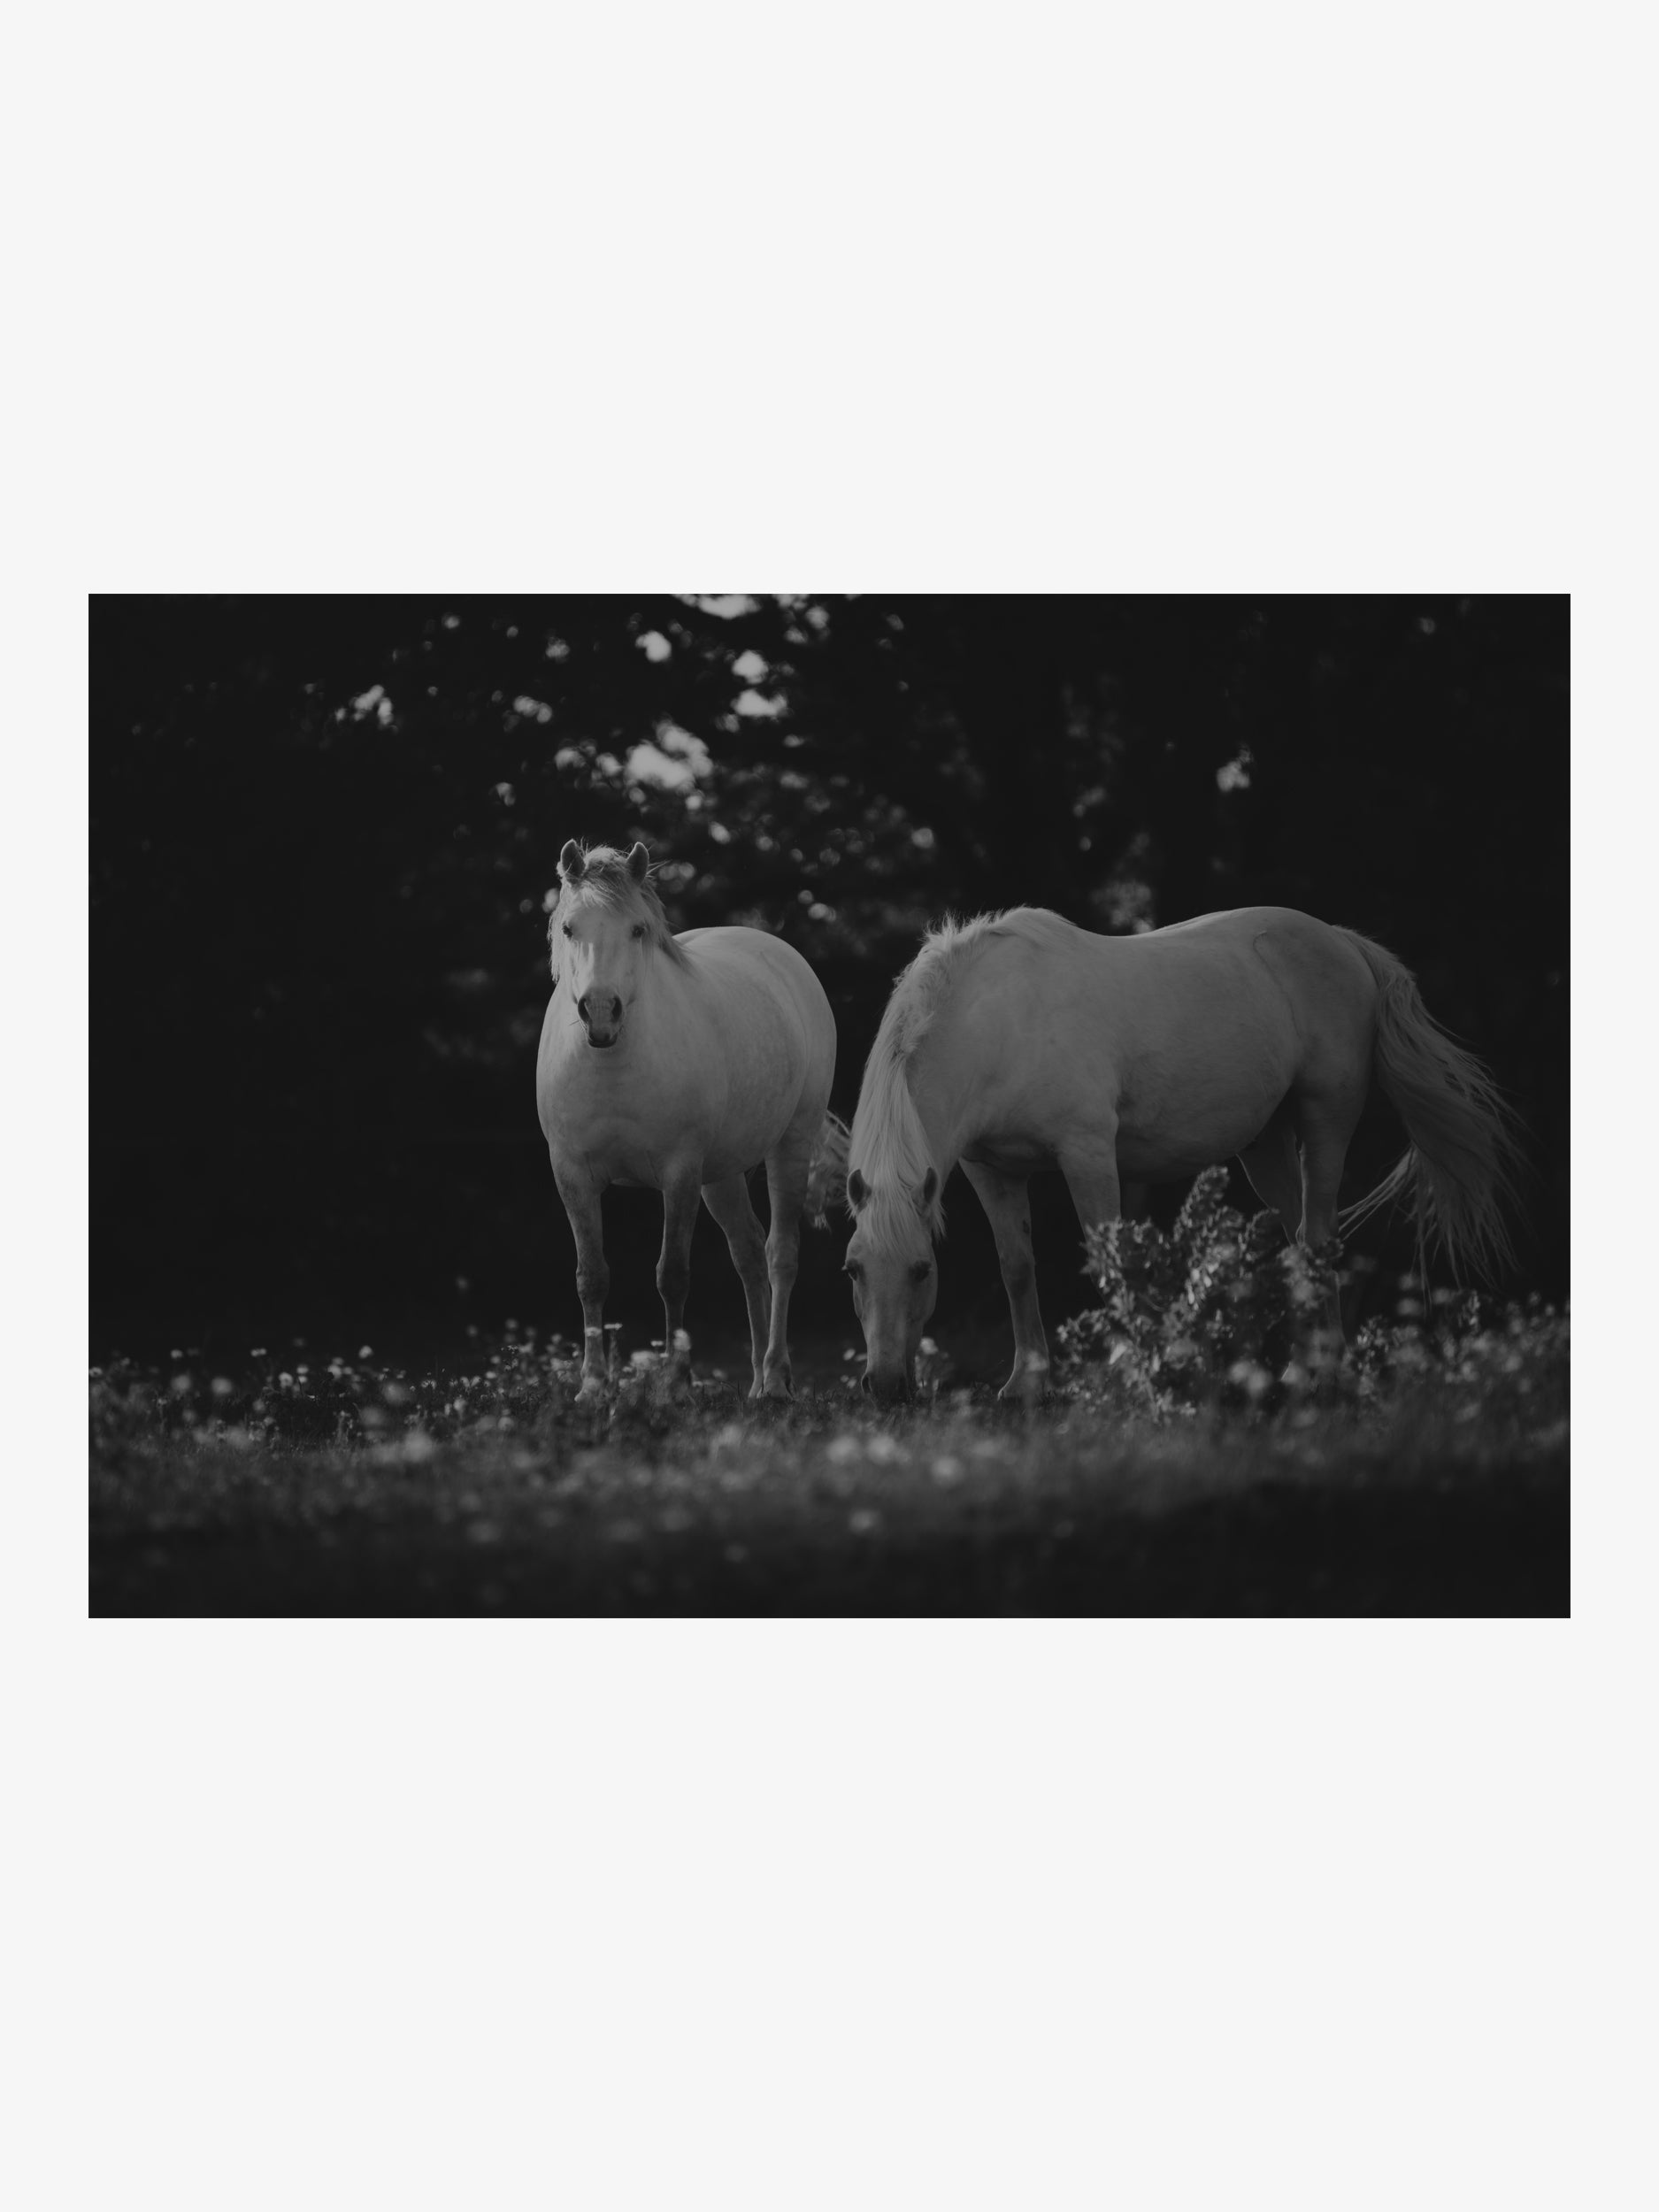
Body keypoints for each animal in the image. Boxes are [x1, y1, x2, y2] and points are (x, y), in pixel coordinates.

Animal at [536, 840, 848, 1403]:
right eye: (569, 928)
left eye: (637, 929)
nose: (600, 1012)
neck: (613, 1063)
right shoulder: (572, 1174)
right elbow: (591, 1275)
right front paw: (592, 1387)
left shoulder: (678, 1172)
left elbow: (673, 1276)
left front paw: (677, 1385)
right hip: (720, 1175)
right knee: (748, 1253)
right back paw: (755, 1381)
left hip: (789, 1145)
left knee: (781, 1254)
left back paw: (776, 1378)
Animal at [842, 905, 1524, 1404]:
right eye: (852, 1271)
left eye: (921, 1271)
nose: (885, 1386)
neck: (1000, 1024)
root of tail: (1341, 941)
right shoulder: (991, 1170)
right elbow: (1016, 1269)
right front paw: (1026, 1384)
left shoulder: (1087, 1154)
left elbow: (1110, 1265)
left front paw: (1128, 1376)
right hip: (1266, 1145)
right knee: (1298, 1240)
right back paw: (1295, 1374)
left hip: (1326, 1121)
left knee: (1320, 1238)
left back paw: (1328, 1375)